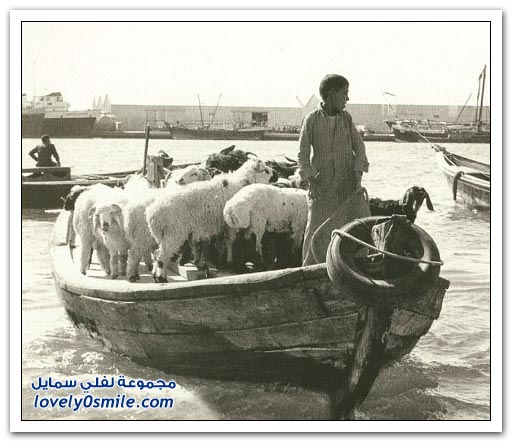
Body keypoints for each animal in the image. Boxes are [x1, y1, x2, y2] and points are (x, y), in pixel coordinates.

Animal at [146, 158, 276, 281]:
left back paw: (155, 275)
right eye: (265, 170)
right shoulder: (230, 226)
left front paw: (221, 262)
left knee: (157, 254)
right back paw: (161, 278)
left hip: (164, 235)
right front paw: (232, 263)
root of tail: (152, 214)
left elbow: (222, 243)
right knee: (162, 255)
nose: (275, 173)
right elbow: (231, 242)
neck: (239, 184)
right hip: (173, 233)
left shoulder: (220, 226)